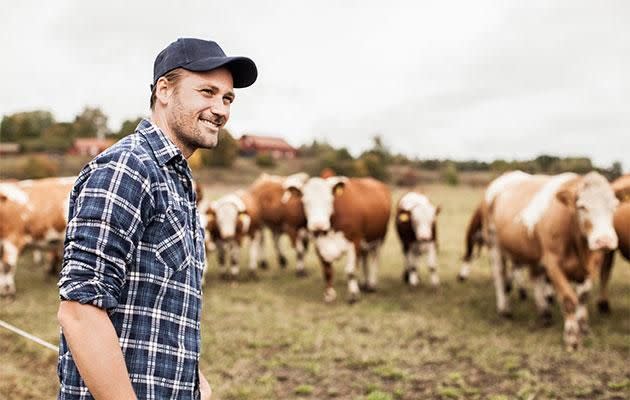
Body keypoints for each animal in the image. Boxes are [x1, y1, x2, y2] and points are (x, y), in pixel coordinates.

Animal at [486, 171, 620, 350]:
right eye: (582, 206)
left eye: (614, 206)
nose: (604, 240)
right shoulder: (553, 264)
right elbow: (569, 299)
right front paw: (572, 338)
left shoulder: (592, 267)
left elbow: (583, 297)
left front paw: (584, 328)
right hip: (495, 244)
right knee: (500, 276)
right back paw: (504, 310)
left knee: (535, 277)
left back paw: (545, 314)